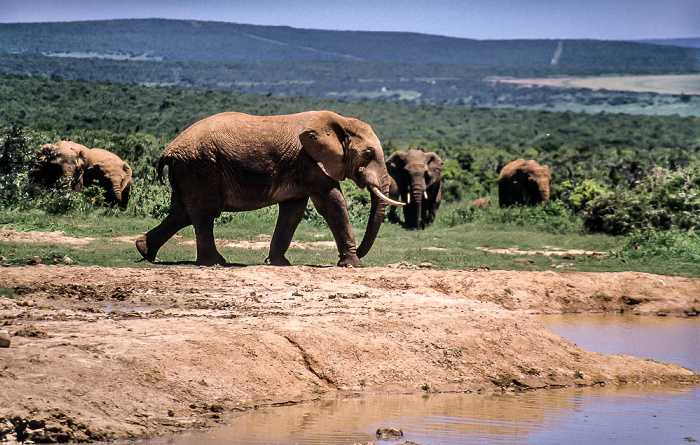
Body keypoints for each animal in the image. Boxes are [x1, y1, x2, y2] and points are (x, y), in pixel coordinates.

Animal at [135, 110, 404, 268]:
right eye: (368, 154)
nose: (359, 251)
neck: (339, 122)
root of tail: (168, 151)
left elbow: (293, 210)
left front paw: (279, 263)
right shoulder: (310, 161)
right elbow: (331, 202)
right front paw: (354, 265)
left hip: (188, 170)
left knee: (180, 213)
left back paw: (145, 251)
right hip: (200, 168)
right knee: (202, 214)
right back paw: (215, 263)